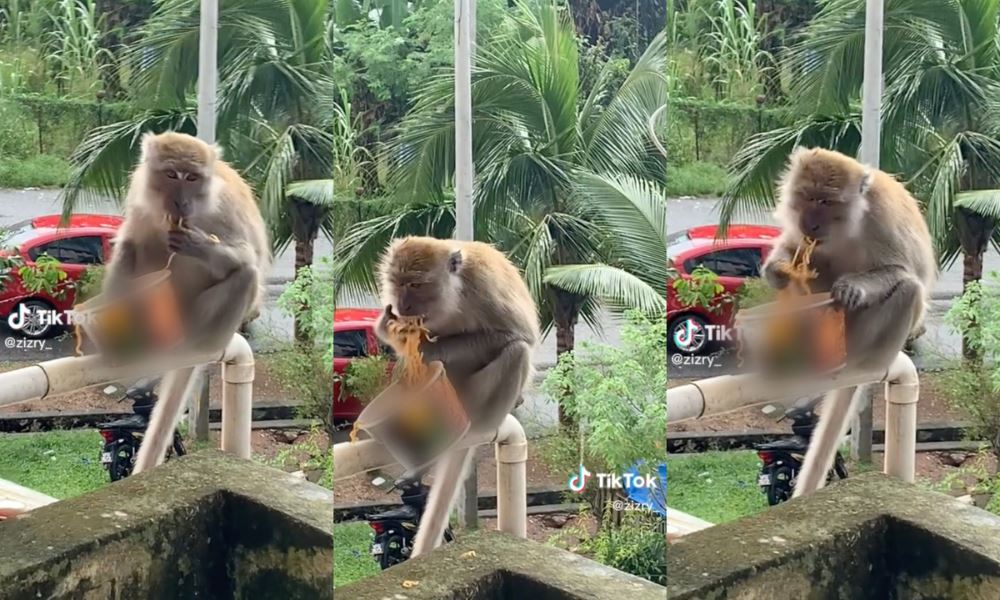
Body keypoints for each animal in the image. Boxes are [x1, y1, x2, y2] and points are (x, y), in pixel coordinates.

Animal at [102, 131, 271, 474]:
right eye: (170, 174)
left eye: (192, 177)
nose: (181, 202)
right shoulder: (141, 196)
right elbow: (130, 244)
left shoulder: (224, 208)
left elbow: (249, 256)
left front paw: (197, 244)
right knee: (143, 248)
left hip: (198, 314)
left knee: (246, 274)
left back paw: (200, 343)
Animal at [374, 236, 540, 557]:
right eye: (397, 283)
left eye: (416, 284)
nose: (402, 305)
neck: (454, 294)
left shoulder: (485, 287)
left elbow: (518, 335)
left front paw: (420, 344)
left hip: (472, 397)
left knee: (517, 352)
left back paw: (476, 428)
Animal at [761, 147, 936, 497]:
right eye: (806, 196)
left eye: (827, 201)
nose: (811, 222)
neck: (847, 223)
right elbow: (793, 248)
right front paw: (778, 271)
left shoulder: (882, 218)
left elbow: (903, 270)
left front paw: (852, 288)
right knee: (813, 263)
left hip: (859, 335)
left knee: (909, 289)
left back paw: (868, 359)